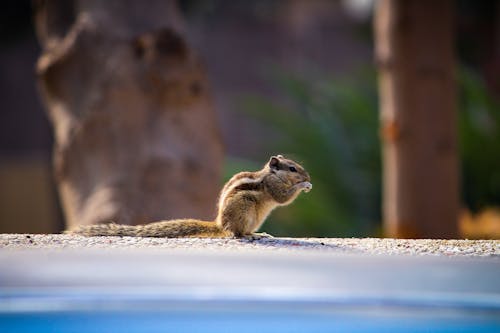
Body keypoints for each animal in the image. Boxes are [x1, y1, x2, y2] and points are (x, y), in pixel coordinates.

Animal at [69, 154, 312, 237]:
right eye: (292, 168)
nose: (307, 175)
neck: (271, 174)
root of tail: (219, 223)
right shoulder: (273, 186)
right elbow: (283, 198)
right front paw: (304, 185)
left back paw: (259, 234)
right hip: (244, 209)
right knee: (236, 234)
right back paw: (249, 235)